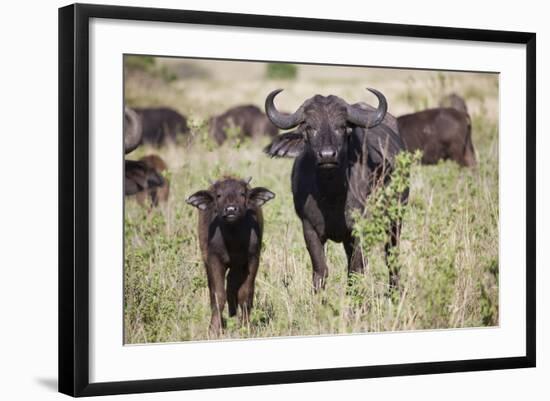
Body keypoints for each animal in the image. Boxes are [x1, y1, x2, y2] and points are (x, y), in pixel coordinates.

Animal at [188, 177, 276, 332]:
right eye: (218, 195)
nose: (230, 210)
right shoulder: (214, 260)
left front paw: (245, 326)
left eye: (242, 194)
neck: (233, 240)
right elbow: (218, 295)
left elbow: (245, 294)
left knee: (232, 284)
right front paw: (214, 328)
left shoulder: (252, 259)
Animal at [264, 87, 410, 290]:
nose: (327, 155)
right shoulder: (309, 228)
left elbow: (356, 270)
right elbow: (320, 271)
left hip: (395, 219)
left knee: (391, 258)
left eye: (341, 126)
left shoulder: (360, 229)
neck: (331, 194)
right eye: (309, 127)